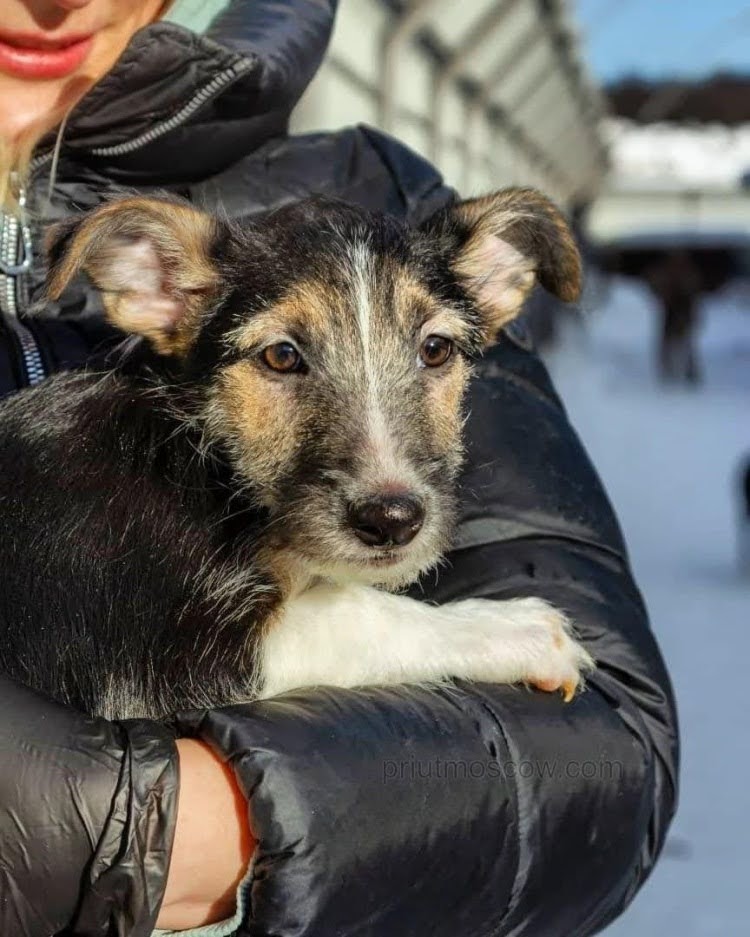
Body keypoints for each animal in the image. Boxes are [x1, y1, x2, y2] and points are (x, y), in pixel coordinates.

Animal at [0, 188, 596, 716]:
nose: (392, 519)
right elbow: (358, 611)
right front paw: (515, 628)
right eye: (281, 356)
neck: (194, 464)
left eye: (435, 349)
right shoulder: (161, 656)